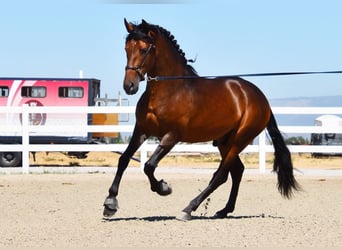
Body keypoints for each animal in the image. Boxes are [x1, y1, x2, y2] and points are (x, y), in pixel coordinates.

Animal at [103, 18, 300, 221]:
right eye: (126, 48)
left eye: (143, 49)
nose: (129, 86)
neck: (169, 91)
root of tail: (260, 98)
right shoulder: (142, 130)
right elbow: (124, 159)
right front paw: (110, 203)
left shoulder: (172, 136)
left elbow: (149, 166)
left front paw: (164, 188)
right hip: (224, 141)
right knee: (237, 171)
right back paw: (224, 210)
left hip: (239, 140)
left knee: (221, 175)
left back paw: (189, 209)